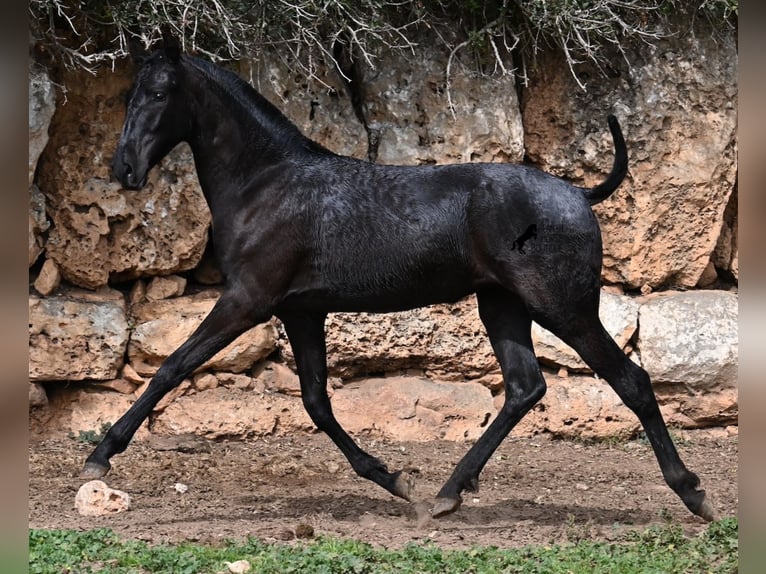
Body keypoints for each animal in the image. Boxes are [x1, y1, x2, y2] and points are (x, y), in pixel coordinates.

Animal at [81, 40, 716, 524]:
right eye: (131, 94)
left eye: (158, 93)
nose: (124, 169)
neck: (268, 185)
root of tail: (579, 194)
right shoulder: (300, 311)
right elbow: (316, 401)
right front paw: (393, 480)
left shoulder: (248, 301)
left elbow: (173, 366)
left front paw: (102, 456)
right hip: (502, 305)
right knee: (525, 387)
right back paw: (446, 494)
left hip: (563, 306)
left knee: (631, 380)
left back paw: (693, 494)